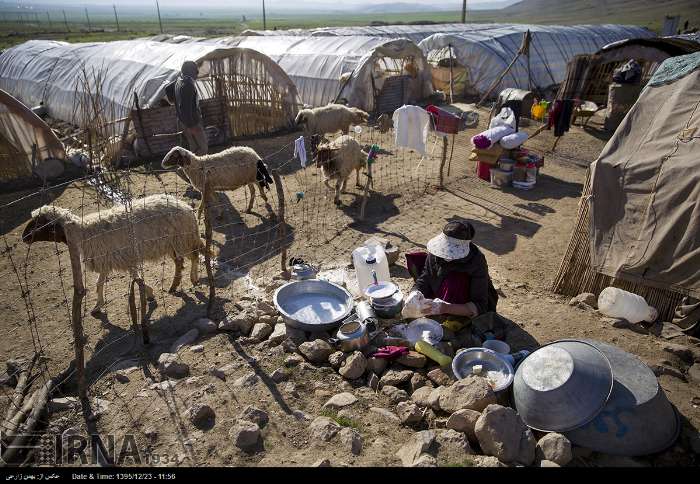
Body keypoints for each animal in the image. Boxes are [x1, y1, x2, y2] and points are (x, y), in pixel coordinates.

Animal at [21, 195, 202, 316]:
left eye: (41, 223)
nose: (24, 237)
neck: (83, 233)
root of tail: (185, 206)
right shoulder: (106, 260)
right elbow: (99, 283)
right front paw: (97, 306)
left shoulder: (124, 257)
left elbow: (135, 278)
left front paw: (149, 293)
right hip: (172, 244)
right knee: (179, 262)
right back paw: (173, 285)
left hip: (183, 239)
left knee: (194, 257)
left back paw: (193, 279)